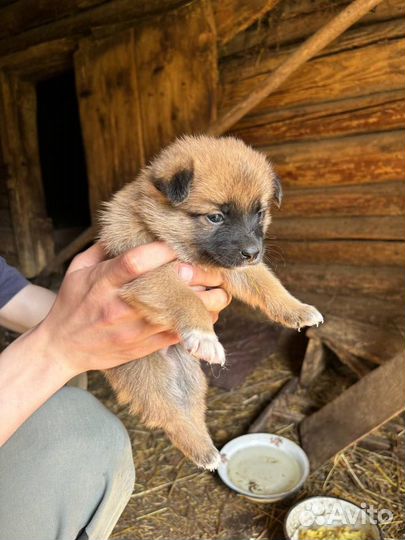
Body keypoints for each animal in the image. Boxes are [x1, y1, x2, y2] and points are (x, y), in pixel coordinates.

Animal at [98, 135, 322, 468]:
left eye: (259, 213)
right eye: (215, 217)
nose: (253, 252)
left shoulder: (234, 267)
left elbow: (267, 284)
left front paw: (297, 310)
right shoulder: (148, 275)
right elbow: (186, 298)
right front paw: (204, 335)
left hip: (190, 379)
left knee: (191, 410)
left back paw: (209, 449)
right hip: (148, 376)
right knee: (169, 417)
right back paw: (203, 454)